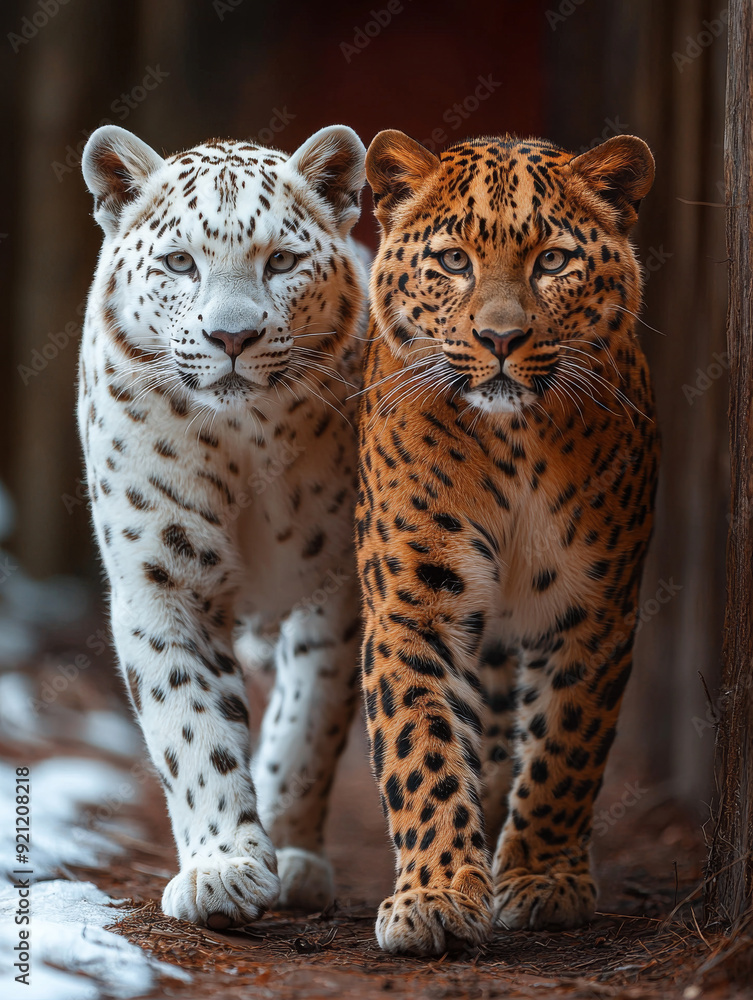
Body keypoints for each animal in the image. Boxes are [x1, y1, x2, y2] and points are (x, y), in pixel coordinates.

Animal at [78, 123, 368, 929]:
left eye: (281, 261)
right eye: (180, 261)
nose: (231, 337)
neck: (246, 441)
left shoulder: (336, 588)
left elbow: (311, 722)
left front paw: (289, 854)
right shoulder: (163, 580)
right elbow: (191, 725)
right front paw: (225, 869)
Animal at [356, 129, 659, 956]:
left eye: (551, 261)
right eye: (453, 260)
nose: (499, 339)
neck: (513, 441)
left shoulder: (597, 608)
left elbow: (565, 745)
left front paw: (541, 878)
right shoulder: (411, 609)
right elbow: (419, 745)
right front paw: (433, 895)